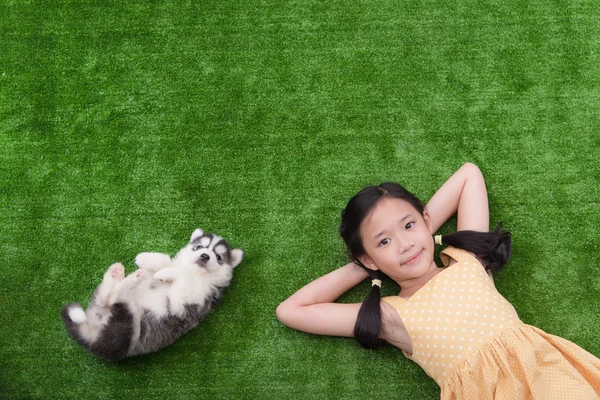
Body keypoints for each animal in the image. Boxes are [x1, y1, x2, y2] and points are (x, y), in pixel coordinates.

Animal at [61, 228, 244, 362]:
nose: (205, 256)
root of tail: (92, 339)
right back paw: (115, 274)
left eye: (218, 257)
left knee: (118, 298)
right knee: (103, 298)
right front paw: (148, 259)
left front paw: (165, 273)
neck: (197, 273)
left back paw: (130, 279)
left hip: (128, 328)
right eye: (199, 247)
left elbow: (183, 277)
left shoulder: (185, 303)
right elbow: (168, 261)